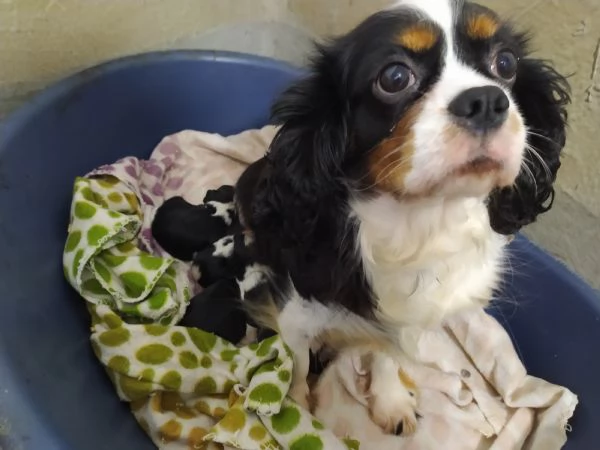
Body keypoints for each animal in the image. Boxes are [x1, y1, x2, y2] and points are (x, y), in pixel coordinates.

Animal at [234, 0, 568, 432]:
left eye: (506, 63)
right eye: (394, 77)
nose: (487, 100)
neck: (421, 218)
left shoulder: (402, 321)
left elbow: (387, 355)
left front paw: (390, 399)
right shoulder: (296, 311)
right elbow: (297, 363)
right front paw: (296, 412)